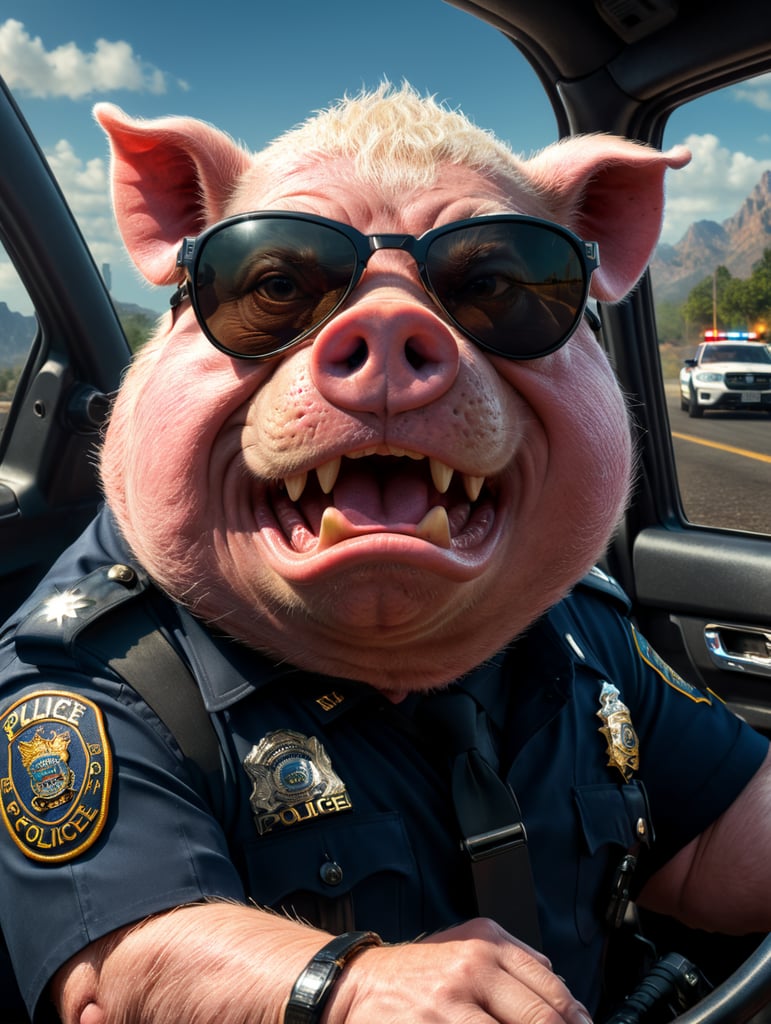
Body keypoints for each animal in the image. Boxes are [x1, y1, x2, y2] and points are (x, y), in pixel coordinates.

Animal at [1, 81, 769, 1024]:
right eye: (278, 282)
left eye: (493, 283)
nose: (393, 323)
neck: (411, 687)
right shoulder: (65, 698)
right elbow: (138, 945)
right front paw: (482, 983)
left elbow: (716, 846)